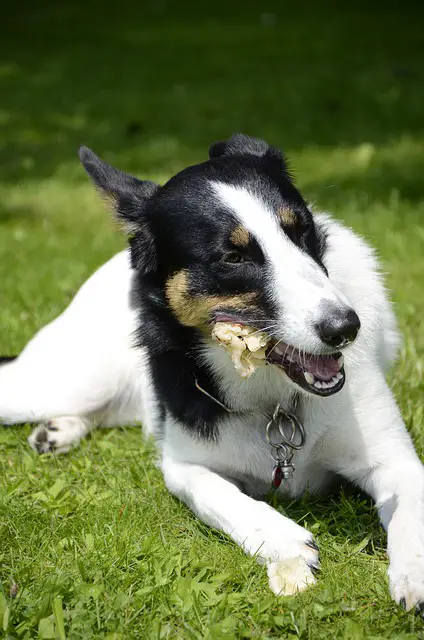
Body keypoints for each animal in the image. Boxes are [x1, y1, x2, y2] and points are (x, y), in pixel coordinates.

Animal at [0, 134, 424, 604]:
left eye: (302, 230)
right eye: (233, 257)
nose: (346, 328)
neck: (275, 398)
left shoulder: (397, 463)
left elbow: (412, 514)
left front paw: (413, 572)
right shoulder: (184, 467)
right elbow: (223, 497)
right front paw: (283, 540)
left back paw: (59, 430)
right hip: (63, 383)